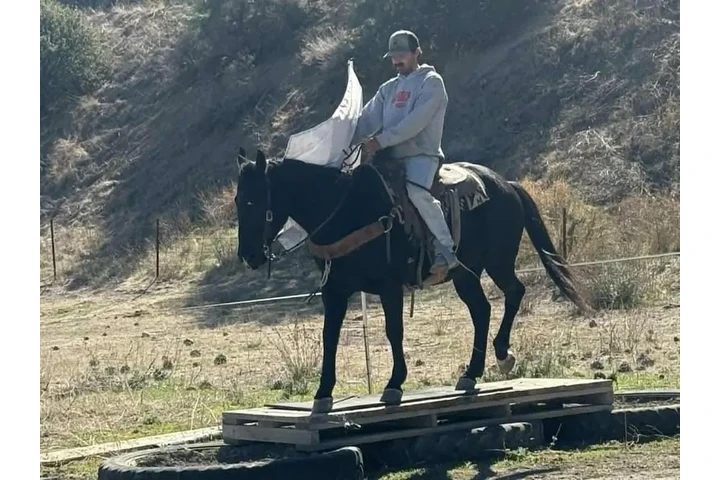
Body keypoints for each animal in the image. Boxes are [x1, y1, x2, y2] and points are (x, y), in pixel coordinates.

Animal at [234, 147, 590, 414]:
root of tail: (507, 184)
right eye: (238, 201)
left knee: (515, 292)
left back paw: (502, 355)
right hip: (466, 274)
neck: (345, 210)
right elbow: (329, 337)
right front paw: (323, 393)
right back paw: (471, 373)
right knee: (482, 309)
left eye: (254, 200)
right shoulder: (334, 291)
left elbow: (394, 331)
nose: (248, 255)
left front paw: (394, 384)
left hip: (498, 262)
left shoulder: (389, 286)